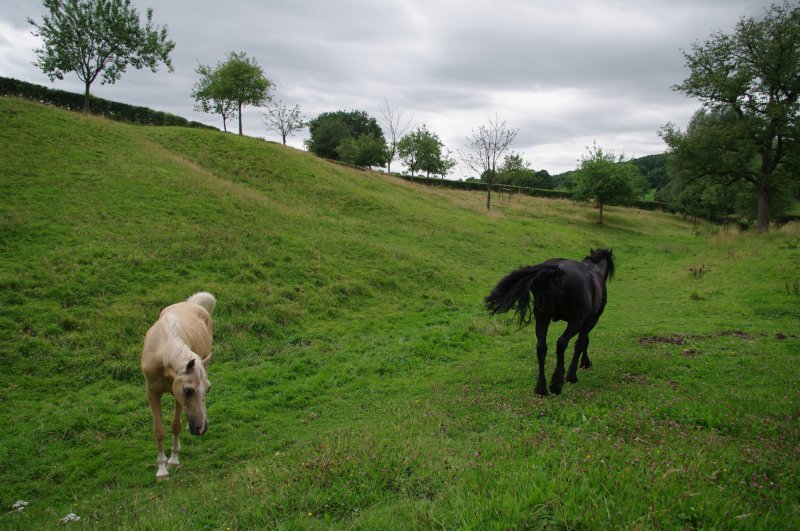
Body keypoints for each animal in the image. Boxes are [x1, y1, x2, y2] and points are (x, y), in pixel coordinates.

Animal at [141, 294, 214, 480]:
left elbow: (176, 425)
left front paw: (173, 460)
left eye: (208, 389)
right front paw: (161, 469)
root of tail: (191, 304)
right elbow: (159, 430)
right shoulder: (152, 392)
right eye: (188, 390)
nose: (201, 428)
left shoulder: (176, 395)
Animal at [484, 249, 616, 394]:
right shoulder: (590, 320)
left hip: (542, 319)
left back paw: (541, 388)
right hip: (575, 321)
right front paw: (575, 371)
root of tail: (556, 270)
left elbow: (584, 341)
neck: (594, 269)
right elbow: (582, 342)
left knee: (541, 347)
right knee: (561, 342)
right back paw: (556, 383)